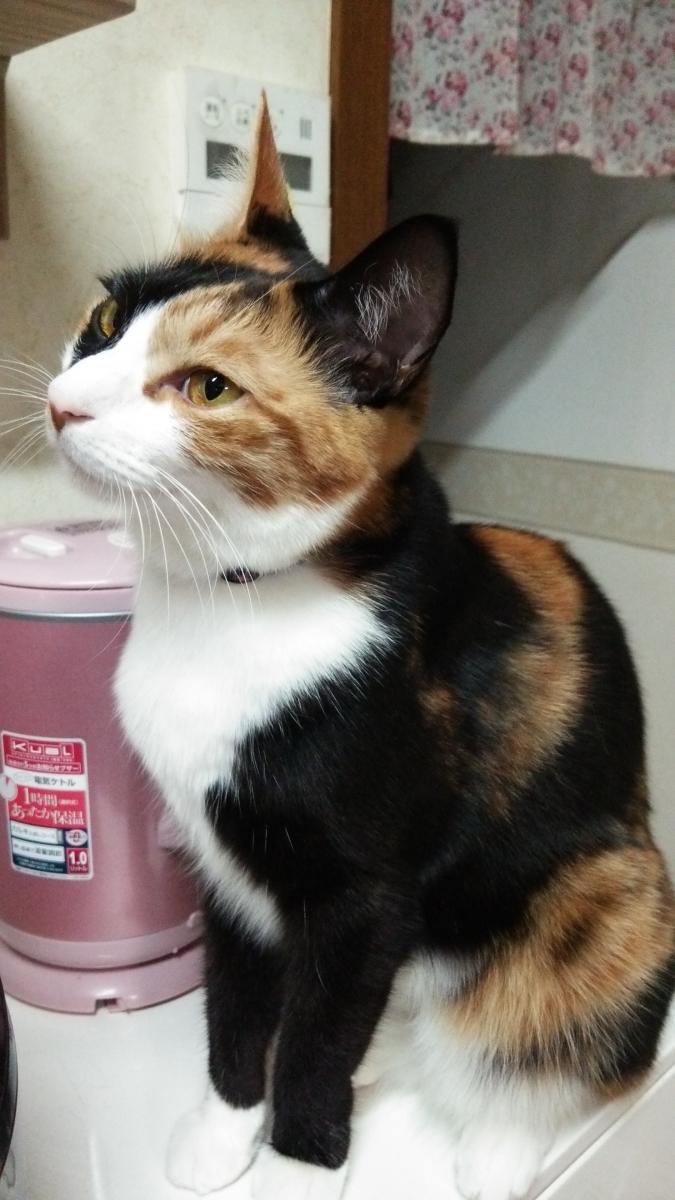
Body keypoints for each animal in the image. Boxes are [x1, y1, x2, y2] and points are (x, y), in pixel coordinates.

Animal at [46, 98, 675, 1200]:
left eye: (208, 387)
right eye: (107, 321)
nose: (65, 402)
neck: (227, 606)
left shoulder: (363, 897)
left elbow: (315, 1044)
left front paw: (297, 1165)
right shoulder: (226, 868)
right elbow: (236, 1010)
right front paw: (224, 1131)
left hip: (616, 896)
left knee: (571, 1052)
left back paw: (498, 1146)